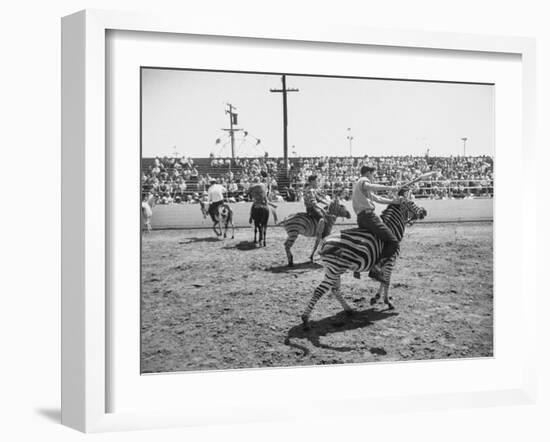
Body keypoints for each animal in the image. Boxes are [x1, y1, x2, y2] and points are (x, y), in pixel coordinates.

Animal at [302, 196, 426, 328]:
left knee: (335, 289)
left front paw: (376, 298)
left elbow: (382, 280)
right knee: (319, 290)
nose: (425, 212)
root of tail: (324, 241)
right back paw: (305, 319)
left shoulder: (382, 263)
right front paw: (387, 302)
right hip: (335, 269)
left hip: (333, 269)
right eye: (412, 202)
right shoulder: (390, 260)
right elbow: (387, 281)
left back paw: (349, 310)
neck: (391, 229)